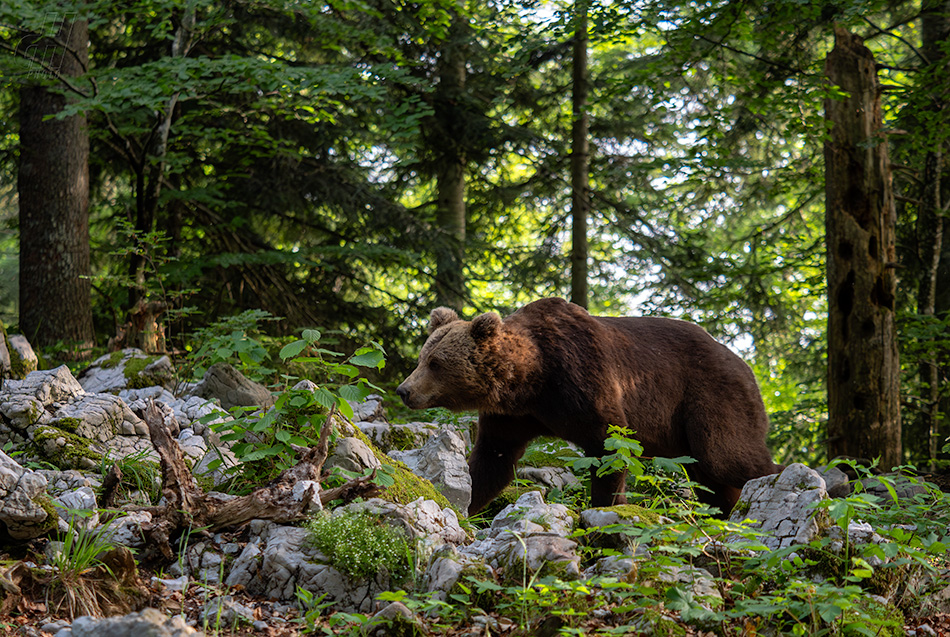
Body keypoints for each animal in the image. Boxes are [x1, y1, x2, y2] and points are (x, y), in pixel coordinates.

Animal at [394, 300, 780, 516]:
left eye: (437, 364)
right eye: (423, 357)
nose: (404, 390)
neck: (532, 380)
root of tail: (746, 366)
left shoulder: (582, 378)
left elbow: (610, 447)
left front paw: (605, 508)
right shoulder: (514, 417)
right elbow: (492, 461)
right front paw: (462, 505)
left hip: (711, 397)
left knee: (728, 456)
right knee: (710, 476)